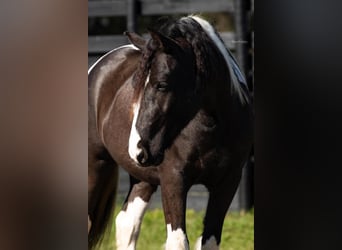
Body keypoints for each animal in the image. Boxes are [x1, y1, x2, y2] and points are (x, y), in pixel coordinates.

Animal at [89, 15, 254, 250]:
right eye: (136, 86)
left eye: (162, 84)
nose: (138, 149)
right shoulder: (173, 181)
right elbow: (178, 241)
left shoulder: (227, 183)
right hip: (95, 166)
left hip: (143, 179)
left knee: (127, 224)